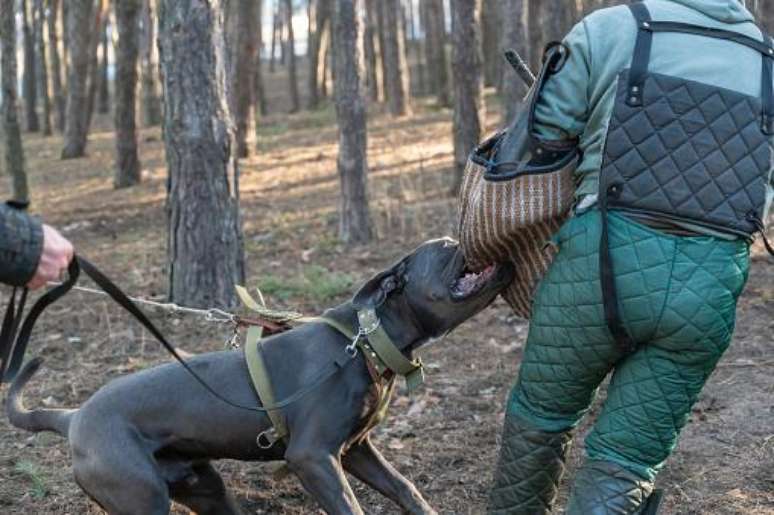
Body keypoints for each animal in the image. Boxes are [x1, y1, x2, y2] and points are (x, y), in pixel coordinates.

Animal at [7, 240, 516, 515]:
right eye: (447, 247)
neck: (364, 342)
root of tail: (73, 417)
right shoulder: (313, 457)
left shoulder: (356, 450)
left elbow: (406, 488)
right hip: (142, 495)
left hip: (205, 489)